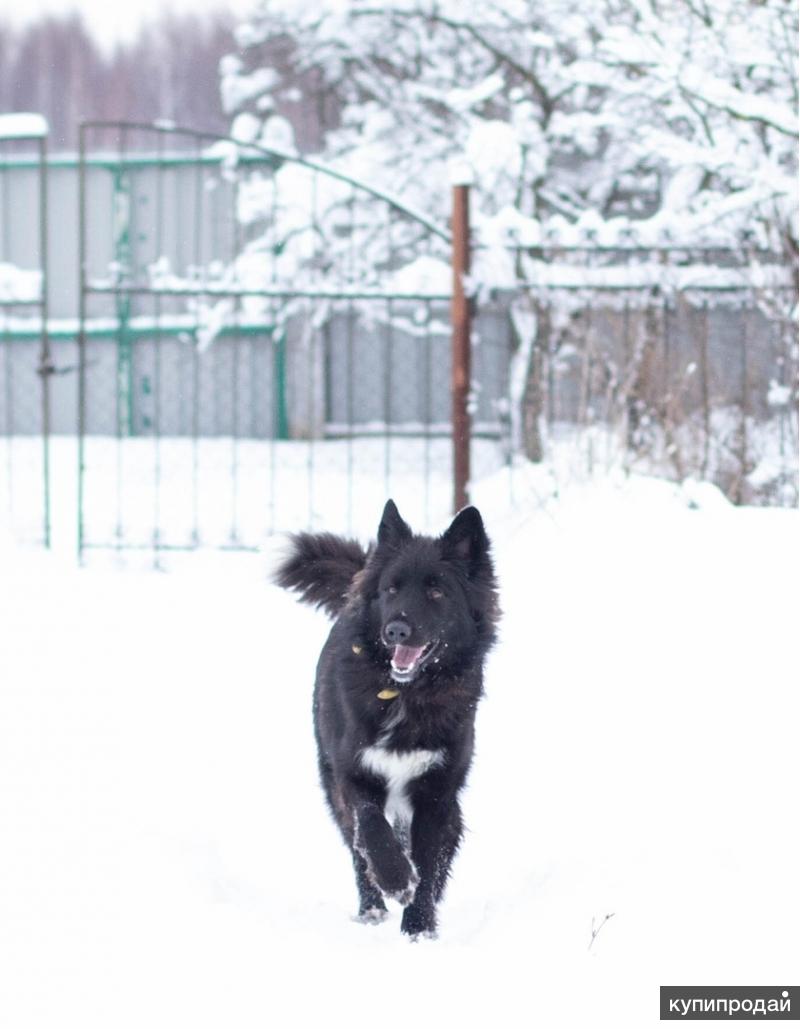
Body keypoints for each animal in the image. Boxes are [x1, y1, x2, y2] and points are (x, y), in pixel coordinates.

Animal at [277, 500, 496, 942]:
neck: (405, 694)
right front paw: (396, 880)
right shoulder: (353, 774)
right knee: (357, 848)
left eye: (436, 591)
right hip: (332, 786)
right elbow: (371, 829)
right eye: (391, 589)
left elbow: (429, 862)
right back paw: (372, 909)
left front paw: (418, 929)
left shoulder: (436, 792)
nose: (395, 630)